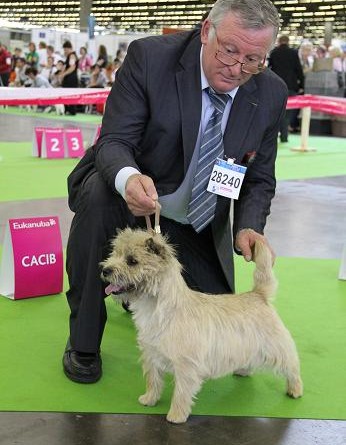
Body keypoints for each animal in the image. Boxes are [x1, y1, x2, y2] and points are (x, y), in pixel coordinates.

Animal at [100, 229, 302, 424]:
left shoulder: (186, 365)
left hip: (276, 347)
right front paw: (149, 399)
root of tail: (258, 295)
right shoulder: (151, 354)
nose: (104, 269)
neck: (158, 308)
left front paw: (176, 415)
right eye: (114, 254)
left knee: (292, 366)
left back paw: (295, 389)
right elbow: (153, 380)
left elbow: (181, 393)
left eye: (132, 261)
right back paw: (242, 370)